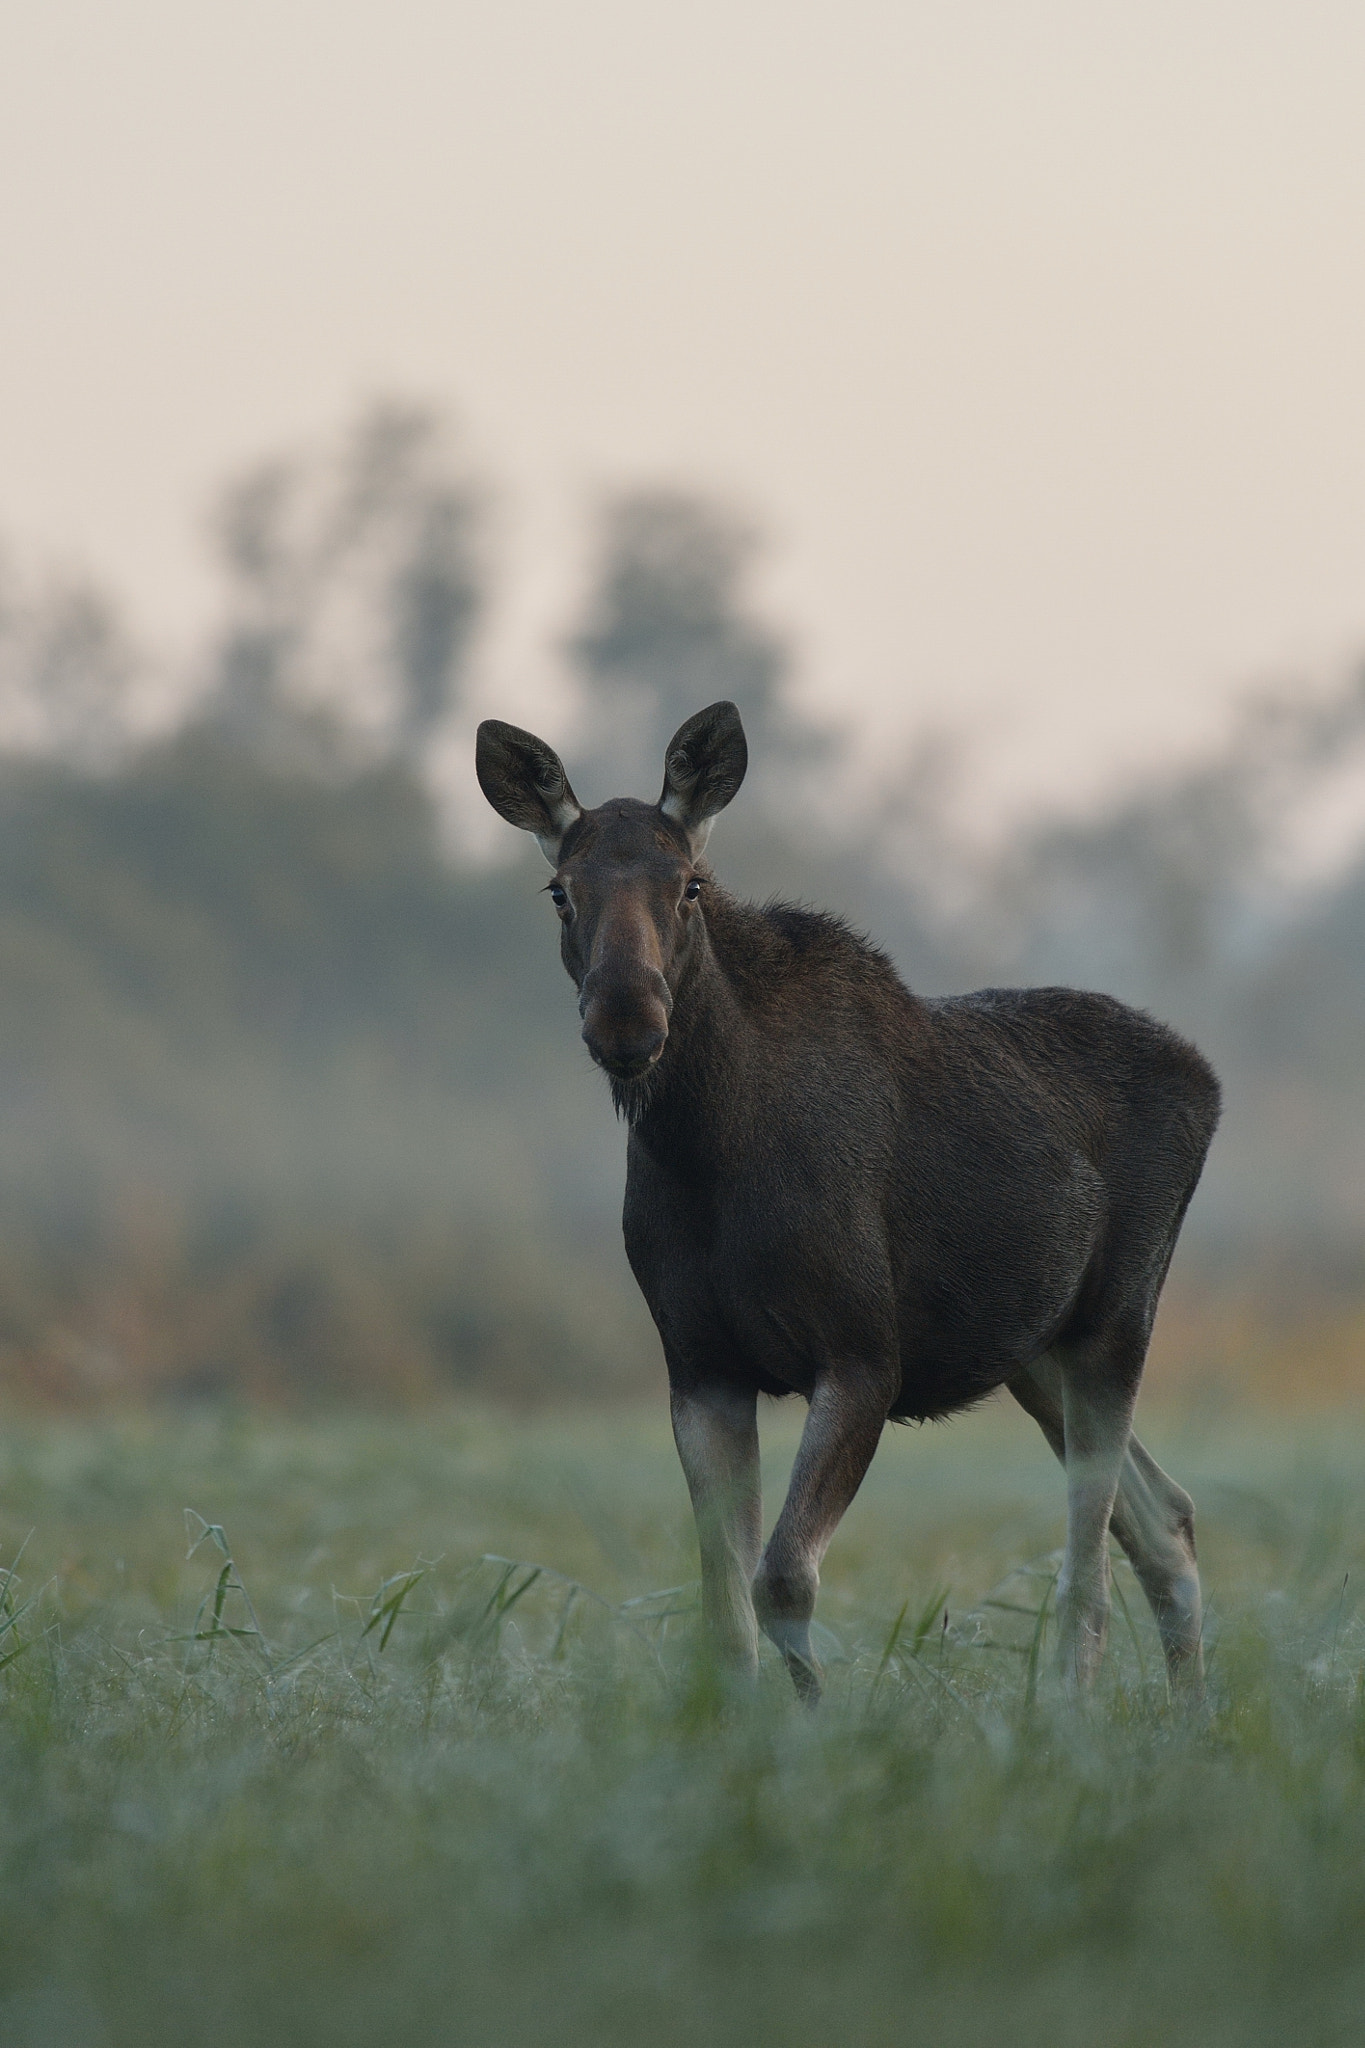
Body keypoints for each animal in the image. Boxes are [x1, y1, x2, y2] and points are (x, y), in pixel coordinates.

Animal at [476, 700, 1220, 1703]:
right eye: (558, 890)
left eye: (690, 886)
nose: (626, 1017)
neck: (707, 1153)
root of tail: (1209, 1081)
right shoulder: (700, 1366)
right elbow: (722, 1609)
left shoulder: (865, 1354)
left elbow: (782, 1576)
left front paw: (823, 1718)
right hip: (1035, 1352)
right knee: (1163, 1519)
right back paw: (1189, 1719)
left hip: (1116, 1318)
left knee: (1090, 1561)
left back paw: (1075, 1708)